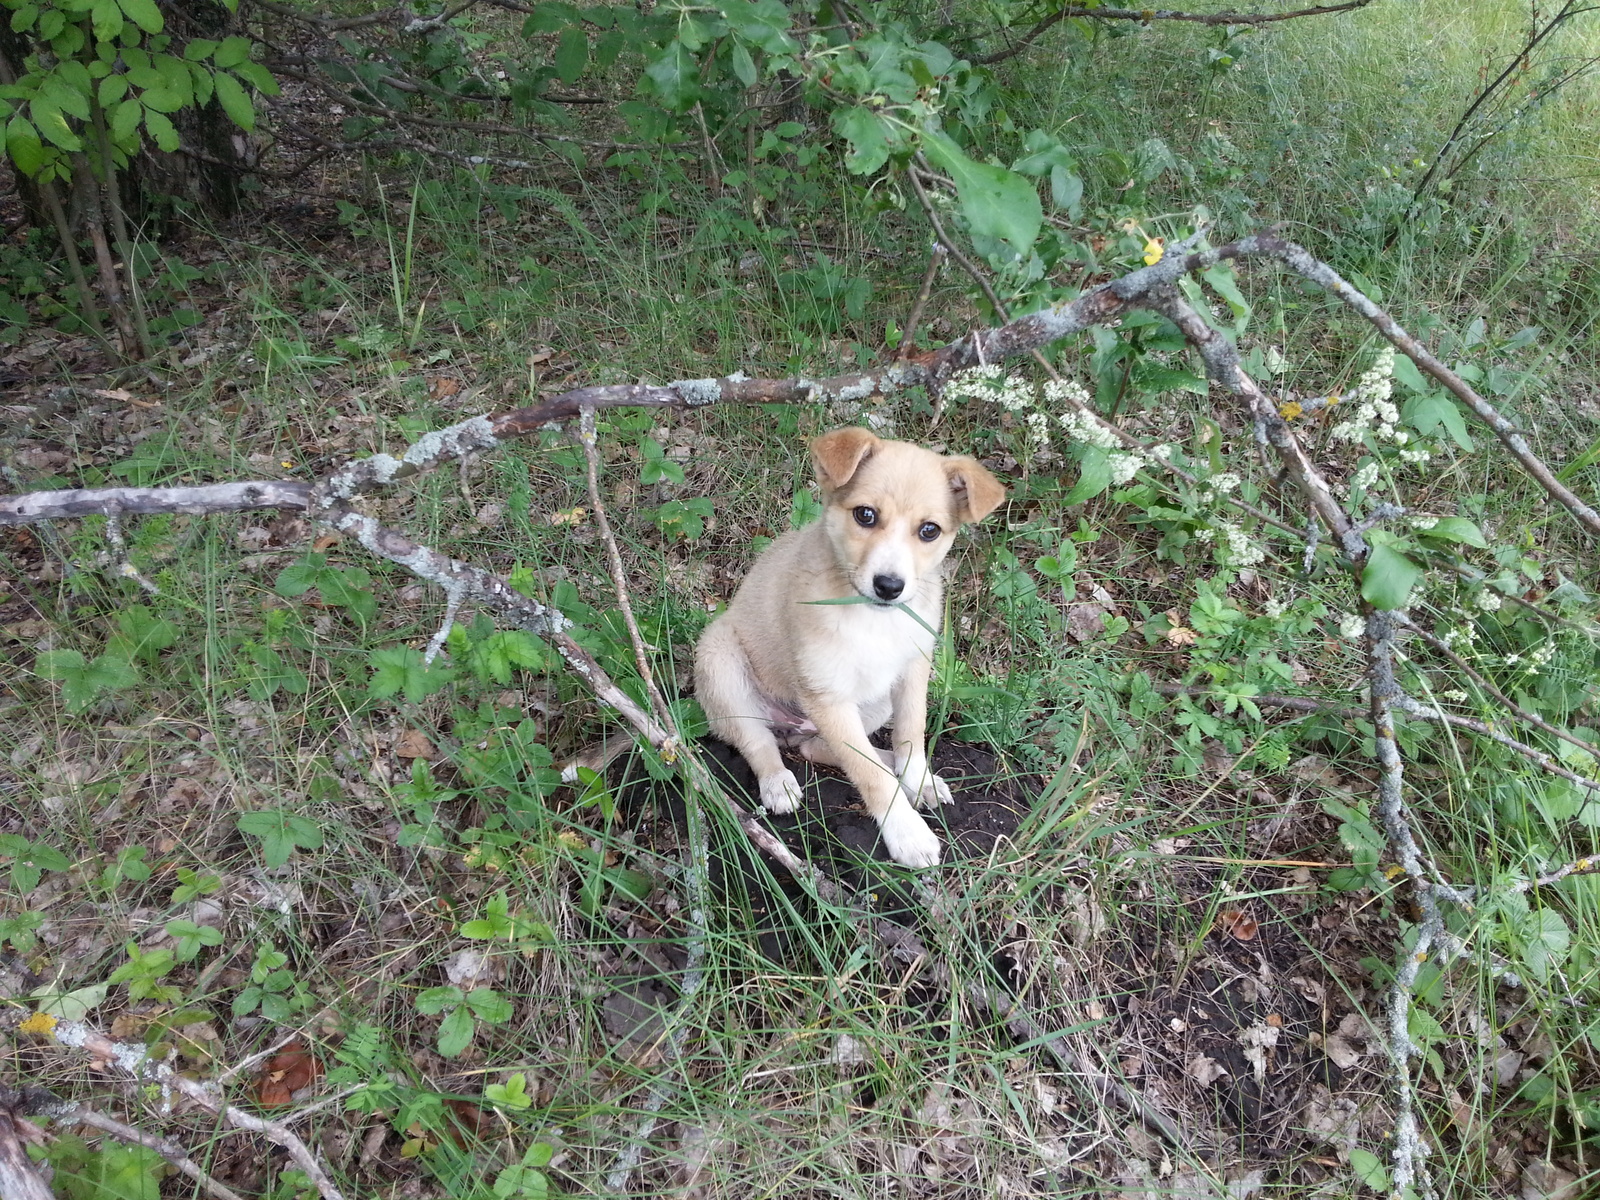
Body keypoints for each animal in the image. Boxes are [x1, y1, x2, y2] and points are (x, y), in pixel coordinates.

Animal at [697, 428, 1004, 870]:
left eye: (929, 530)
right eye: (865, 515)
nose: (890, 586)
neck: (872, 618)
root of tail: (792, 727)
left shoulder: (913, 669)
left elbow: (910, 734)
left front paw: (917, 779)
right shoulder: (827, 695)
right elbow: (869, 776)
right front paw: (906, 832)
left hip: (874, 703)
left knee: (822, 748)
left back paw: (907, 770)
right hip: (719, 659)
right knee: (758, 740)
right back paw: (778, 782)